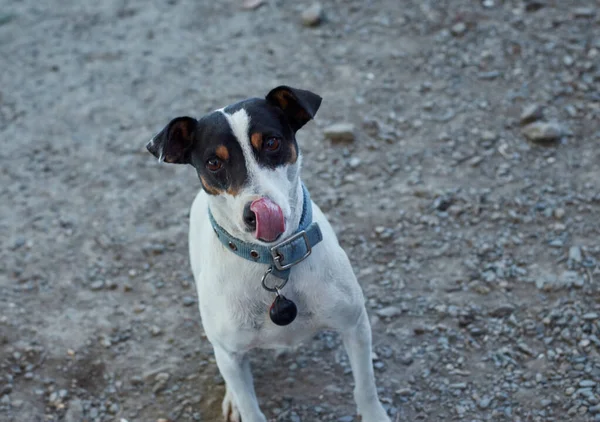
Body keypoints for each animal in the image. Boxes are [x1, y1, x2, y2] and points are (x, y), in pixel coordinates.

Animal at [145, 86, 390, 422]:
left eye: (272, 143)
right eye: (213, 163)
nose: (256, 213)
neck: (272, 260)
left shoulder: (355, 325)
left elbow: (365, 387)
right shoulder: (230, 354)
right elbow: (249, 404)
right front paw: (240, 403)